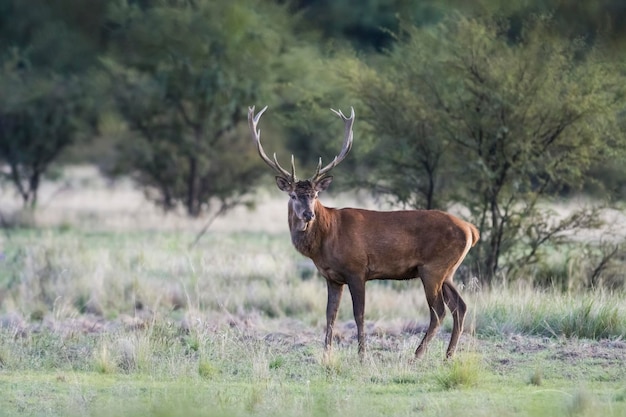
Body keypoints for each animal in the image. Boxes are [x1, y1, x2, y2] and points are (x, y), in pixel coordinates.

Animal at [247, 105, 478, 360]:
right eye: (294, 195)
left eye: (315, 195)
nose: (309, 215)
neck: (327, 238)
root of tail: (471, 230)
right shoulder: (331, 277)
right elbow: (330, 315)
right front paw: (326, 354)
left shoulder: (357, 269)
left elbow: (359, 313)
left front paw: (362, 355)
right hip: (448, 272)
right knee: (460, 306)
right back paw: (448, 355)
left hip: (433, 268)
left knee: (438, 310)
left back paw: (417, 355)